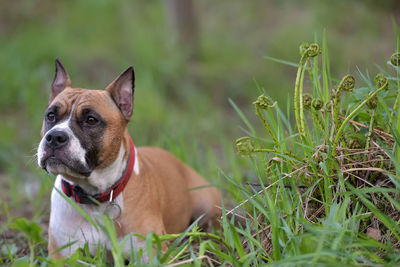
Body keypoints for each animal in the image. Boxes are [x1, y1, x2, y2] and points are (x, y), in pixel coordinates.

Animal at [37, 59, 222, 260]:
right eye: (51, 116)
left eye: (91, 120)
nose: (55, 137)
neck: (94, 196)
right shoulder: (62, 255)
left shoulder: (152, 254)